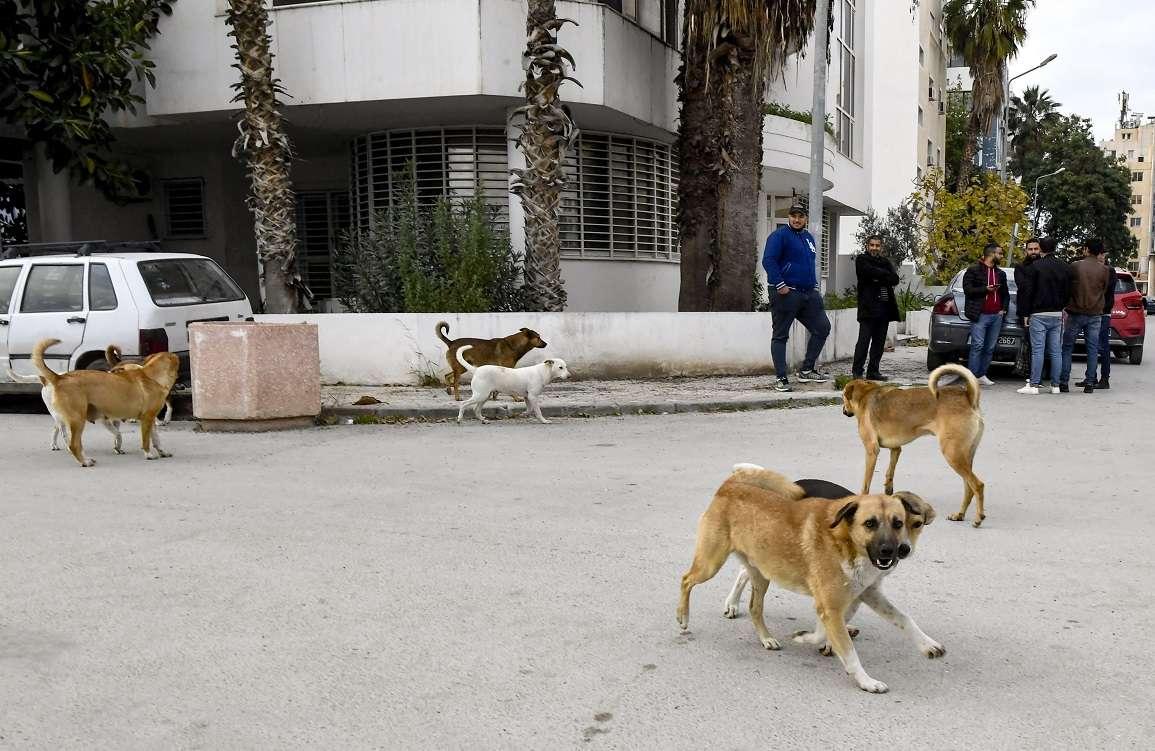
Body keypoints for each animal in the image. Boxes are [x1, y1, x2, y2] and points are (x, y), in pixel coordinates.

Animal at [32, 337, 177, 464]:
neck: (152, 376)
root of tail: (59, 378)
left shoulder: (151, 419)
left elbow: (156, 439)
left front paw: (162, 452)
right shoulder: (146, 419)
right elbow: (145, 440)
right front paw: (148, 454)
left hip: (73, 420)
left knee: (74, 441)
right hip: (77, 420)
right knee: (73, 445)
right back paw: (85, 462)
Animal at [840, 362, 984, 526]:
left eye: (842, 396)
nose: (843, 410)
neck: (866, 394)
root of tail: (968, 396)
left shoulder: (872, 450)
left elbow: (866, 483)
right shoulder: (896, 449)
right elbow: (890, 472)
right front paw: (888, 490)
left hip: (952, 454)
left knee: (977, 485)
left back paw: (978, 518)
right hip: (964, 457)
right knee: (969, 487)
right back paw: (959, 514)